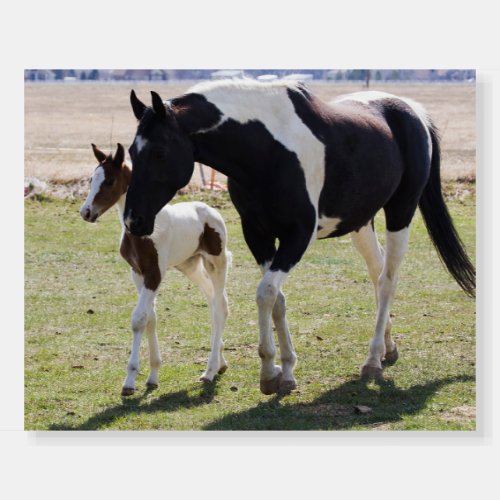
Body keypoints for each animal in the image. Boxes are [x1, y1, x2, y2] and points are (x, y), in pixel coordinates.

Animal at [80, 144, 232, 394]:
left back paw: (209, 371)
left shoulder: (154, 274)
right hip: (189, 265)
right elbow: (150, 317)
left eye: (110, 181)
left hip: (216, 262)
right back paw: (220, 363)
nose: (86, 212)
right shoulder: (137, 273)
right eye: (92, 179)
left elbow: (138, 319)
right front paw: (152, 376)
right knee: (212, 300)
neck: (140, 231)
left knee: (220, 307)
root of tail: (210, 210)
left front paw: (130, 381)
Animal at [123, 80, 474, 394]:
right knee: (377, 274)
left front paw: (269, 371)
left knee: (388, 281)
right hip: (362, 224)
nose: (133, 221)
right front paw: (286, 371)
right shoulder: (258, 235)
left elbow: (265, 293)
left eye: (159, 151)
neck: (268, 150)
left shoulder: (298, 236)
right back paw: (388, 347)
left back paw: (372, 359)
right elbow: (277, 300)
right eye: (131, 152)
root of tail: (411, 111)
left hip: (401, 212)